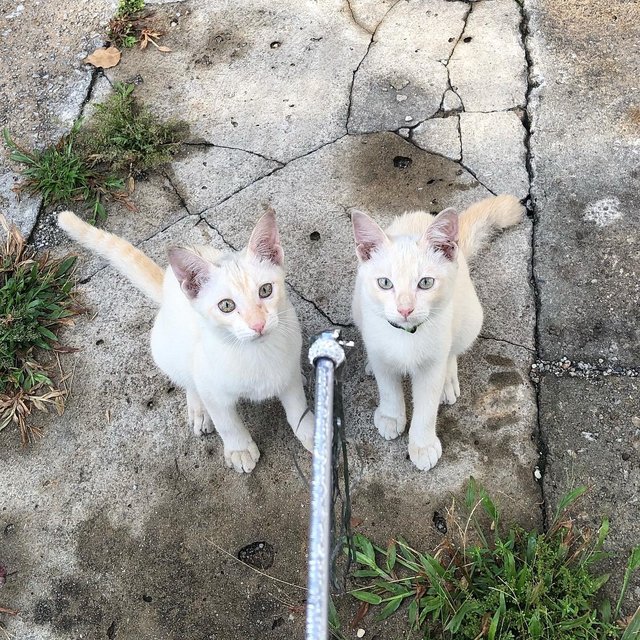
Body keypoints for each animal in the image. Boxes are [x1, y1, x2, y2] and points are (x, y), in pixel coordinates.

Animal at [350, 194, 524, 470]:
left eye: (426, 283)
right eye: (385, 283)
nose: (405, 309)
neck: (406, 335)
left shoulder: (432, 364)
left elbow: (427, 405)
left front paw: (422, 445)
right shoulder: (379, 343)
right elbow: (387, 386)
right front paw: (391, 415)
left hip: (469, 315)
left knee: (453, 350)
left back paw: (448, 380)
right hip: (357, 306)